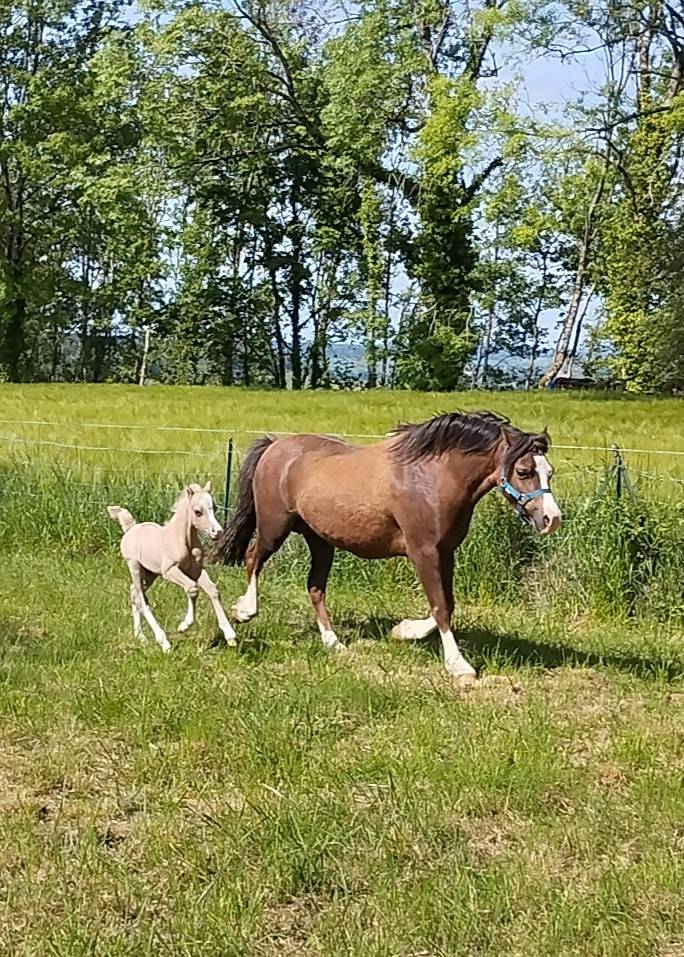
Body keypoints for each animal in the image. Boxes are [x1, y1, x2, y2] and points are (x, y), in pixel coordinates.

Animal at [108, 482, 237, 652]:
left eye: (214, 508)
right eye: (198, 512)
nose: (218, 532)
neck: (182, 540)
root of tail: (131, 529)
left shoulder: (196, 570)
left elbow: (212, 590)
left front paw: (230, 635)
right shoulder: (169, 571)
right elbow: (192, 588)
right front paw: (184, 626)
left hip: (150, 574)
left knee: (134, 593)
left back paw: (140, 636)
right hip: (134, 567)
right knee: (141, 599)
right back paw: (164, 642)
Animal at [211, 411, 561, 683]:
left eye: (550, 472)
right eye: (523, 471)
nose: (552, 518)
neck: (432, 478)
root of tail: (275, 444)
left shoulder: (445, 552)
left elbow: (447, 604)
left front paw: (404, 631)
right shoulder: (424, 552)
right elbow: (441, 607)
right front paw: (458, 665)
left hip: (320, 540)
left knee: (315, 587)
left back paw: (333, 642)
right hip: (275, 527)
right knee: (253, 558)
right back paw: (244, 611)